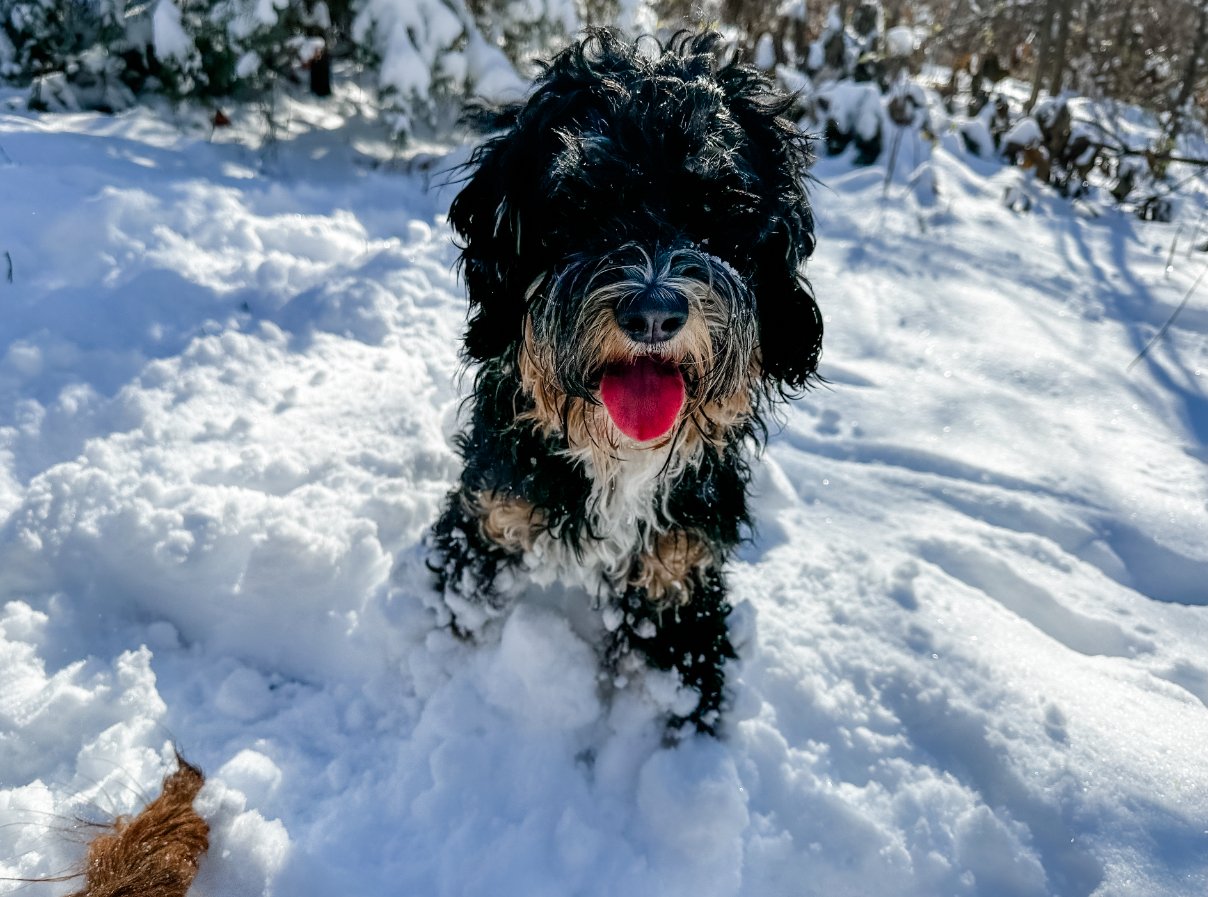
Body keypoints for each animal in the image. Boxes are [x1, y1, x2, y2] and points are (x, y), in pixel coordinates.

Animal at [425, 29, 821, 738]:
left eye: (715, 209)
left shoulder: (679, 575)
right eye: (585, 206)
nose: (654, 312)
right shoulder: (488, 519)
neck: (617, 458)